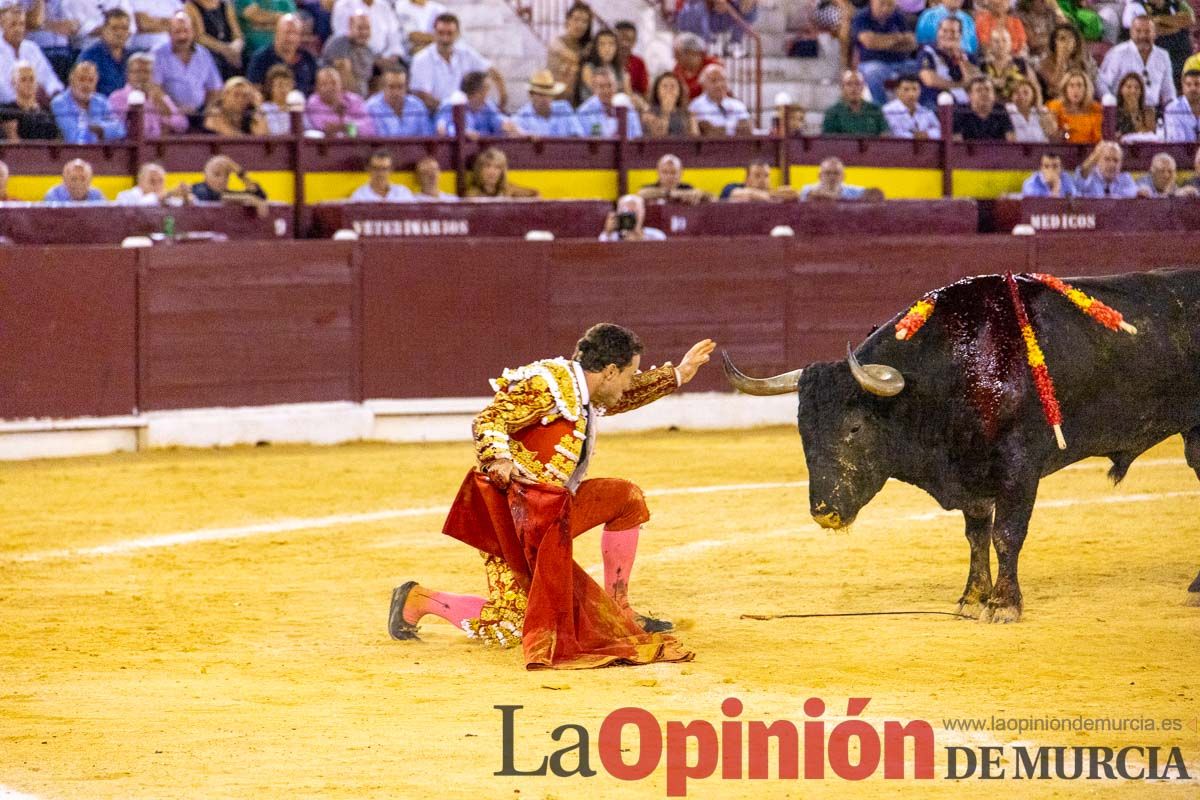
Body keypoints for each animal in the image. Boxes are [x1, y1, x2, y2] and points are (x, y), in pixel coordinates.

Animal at [720, 272, 1200, 623]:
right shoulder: (972, 474)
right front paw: (971, 599)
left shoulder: (1020, 467)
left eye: (855, 427)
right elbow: (976, 535)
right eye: (802, 429)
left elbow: (1007, 534)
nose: (825, 512)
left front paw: (1004, 605)